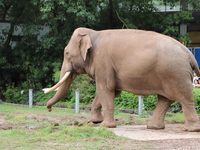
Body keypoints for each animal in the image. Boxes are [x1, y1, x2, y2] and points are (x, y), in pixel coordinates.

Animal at [43, 27, 200, 131]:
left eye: (67, 53)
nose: (49, 109)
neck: (94, 33)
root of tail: (188, 53)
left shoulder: (103, 62)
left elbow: (105, 89)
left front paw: (105, 126)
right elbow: (110, 91)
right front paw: (94, 121)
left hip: (175, 73)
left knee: (184, 99)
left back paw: (191, 129)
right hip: (169, 74)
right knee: (165, 99)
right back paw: (153, 127)